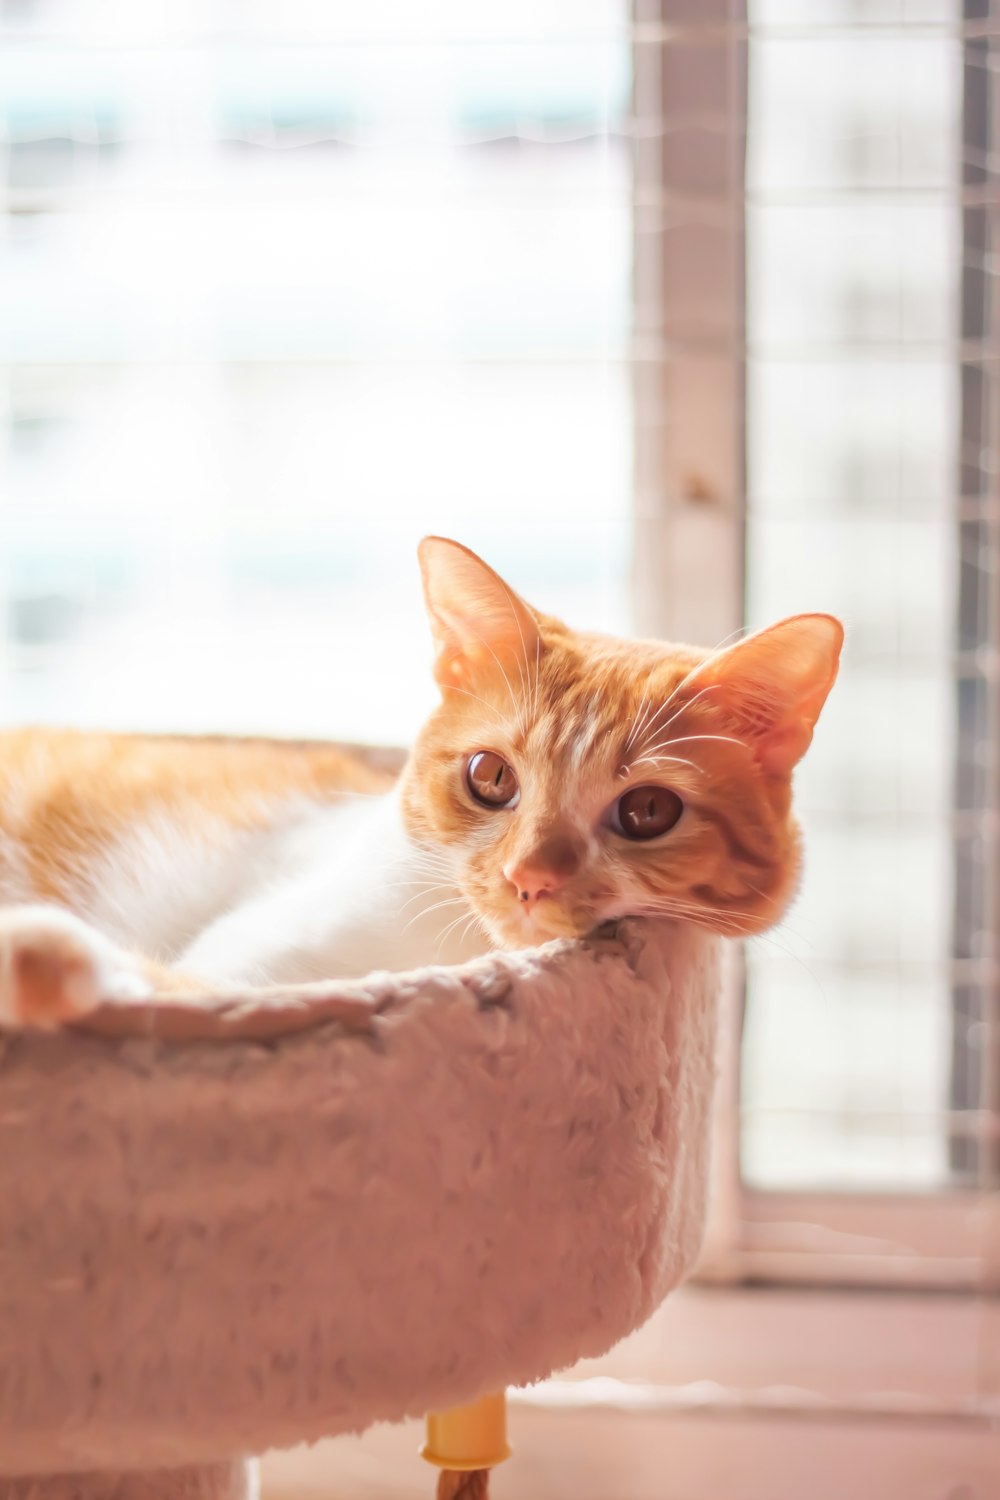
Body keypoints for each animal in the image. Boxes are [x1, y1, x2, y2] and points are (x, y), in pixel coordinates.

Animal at [0, 540, 839, 1032]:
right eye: (490, 777)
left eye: (649, 811)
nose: (528, 878)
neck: (448, 946)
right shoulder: (247, 976)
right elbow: (172, 984)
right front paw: (44, 958)